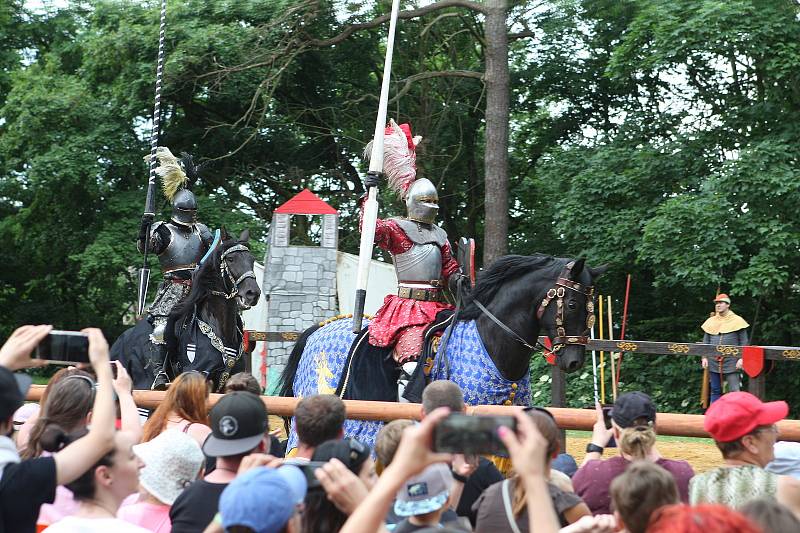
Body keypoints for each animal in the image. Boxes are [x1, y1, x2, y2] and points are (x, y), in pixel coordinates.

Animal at [111, 227, 260, 388]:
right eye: (231, 259)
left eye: (251, 259)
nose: (253, 293)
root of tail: (120, 340)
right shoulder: (198, 375)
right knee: (159, 331)